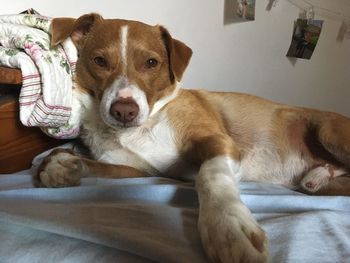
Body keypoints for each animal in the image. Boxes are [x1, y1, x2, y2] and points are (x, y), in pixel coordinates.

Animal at [36, 13, 350, 263]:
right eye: (100, 61)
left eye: (151, 62)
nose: (124, 111)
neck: (144, 126)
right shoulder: (139, 171)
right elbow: (97, 167)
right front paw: (63, 164)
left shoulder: (218, 141)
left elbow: (210, 175)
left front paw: (227, 228)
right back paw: (318, 176)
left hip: (328, 132)